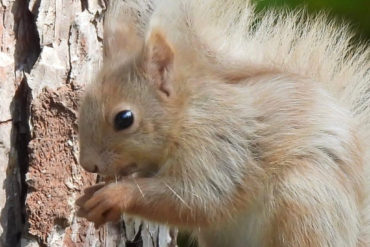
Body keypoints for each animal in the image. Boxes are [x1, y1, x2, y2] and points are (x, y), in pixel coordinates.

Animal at [76, 0, 370, 247]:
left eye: (124, 119)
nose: (88, 165)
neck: (186, 116)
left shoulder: (220, 151)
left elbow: (198, 199)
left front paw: (115, 195)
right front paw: (92, 196)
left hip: (304, 200)